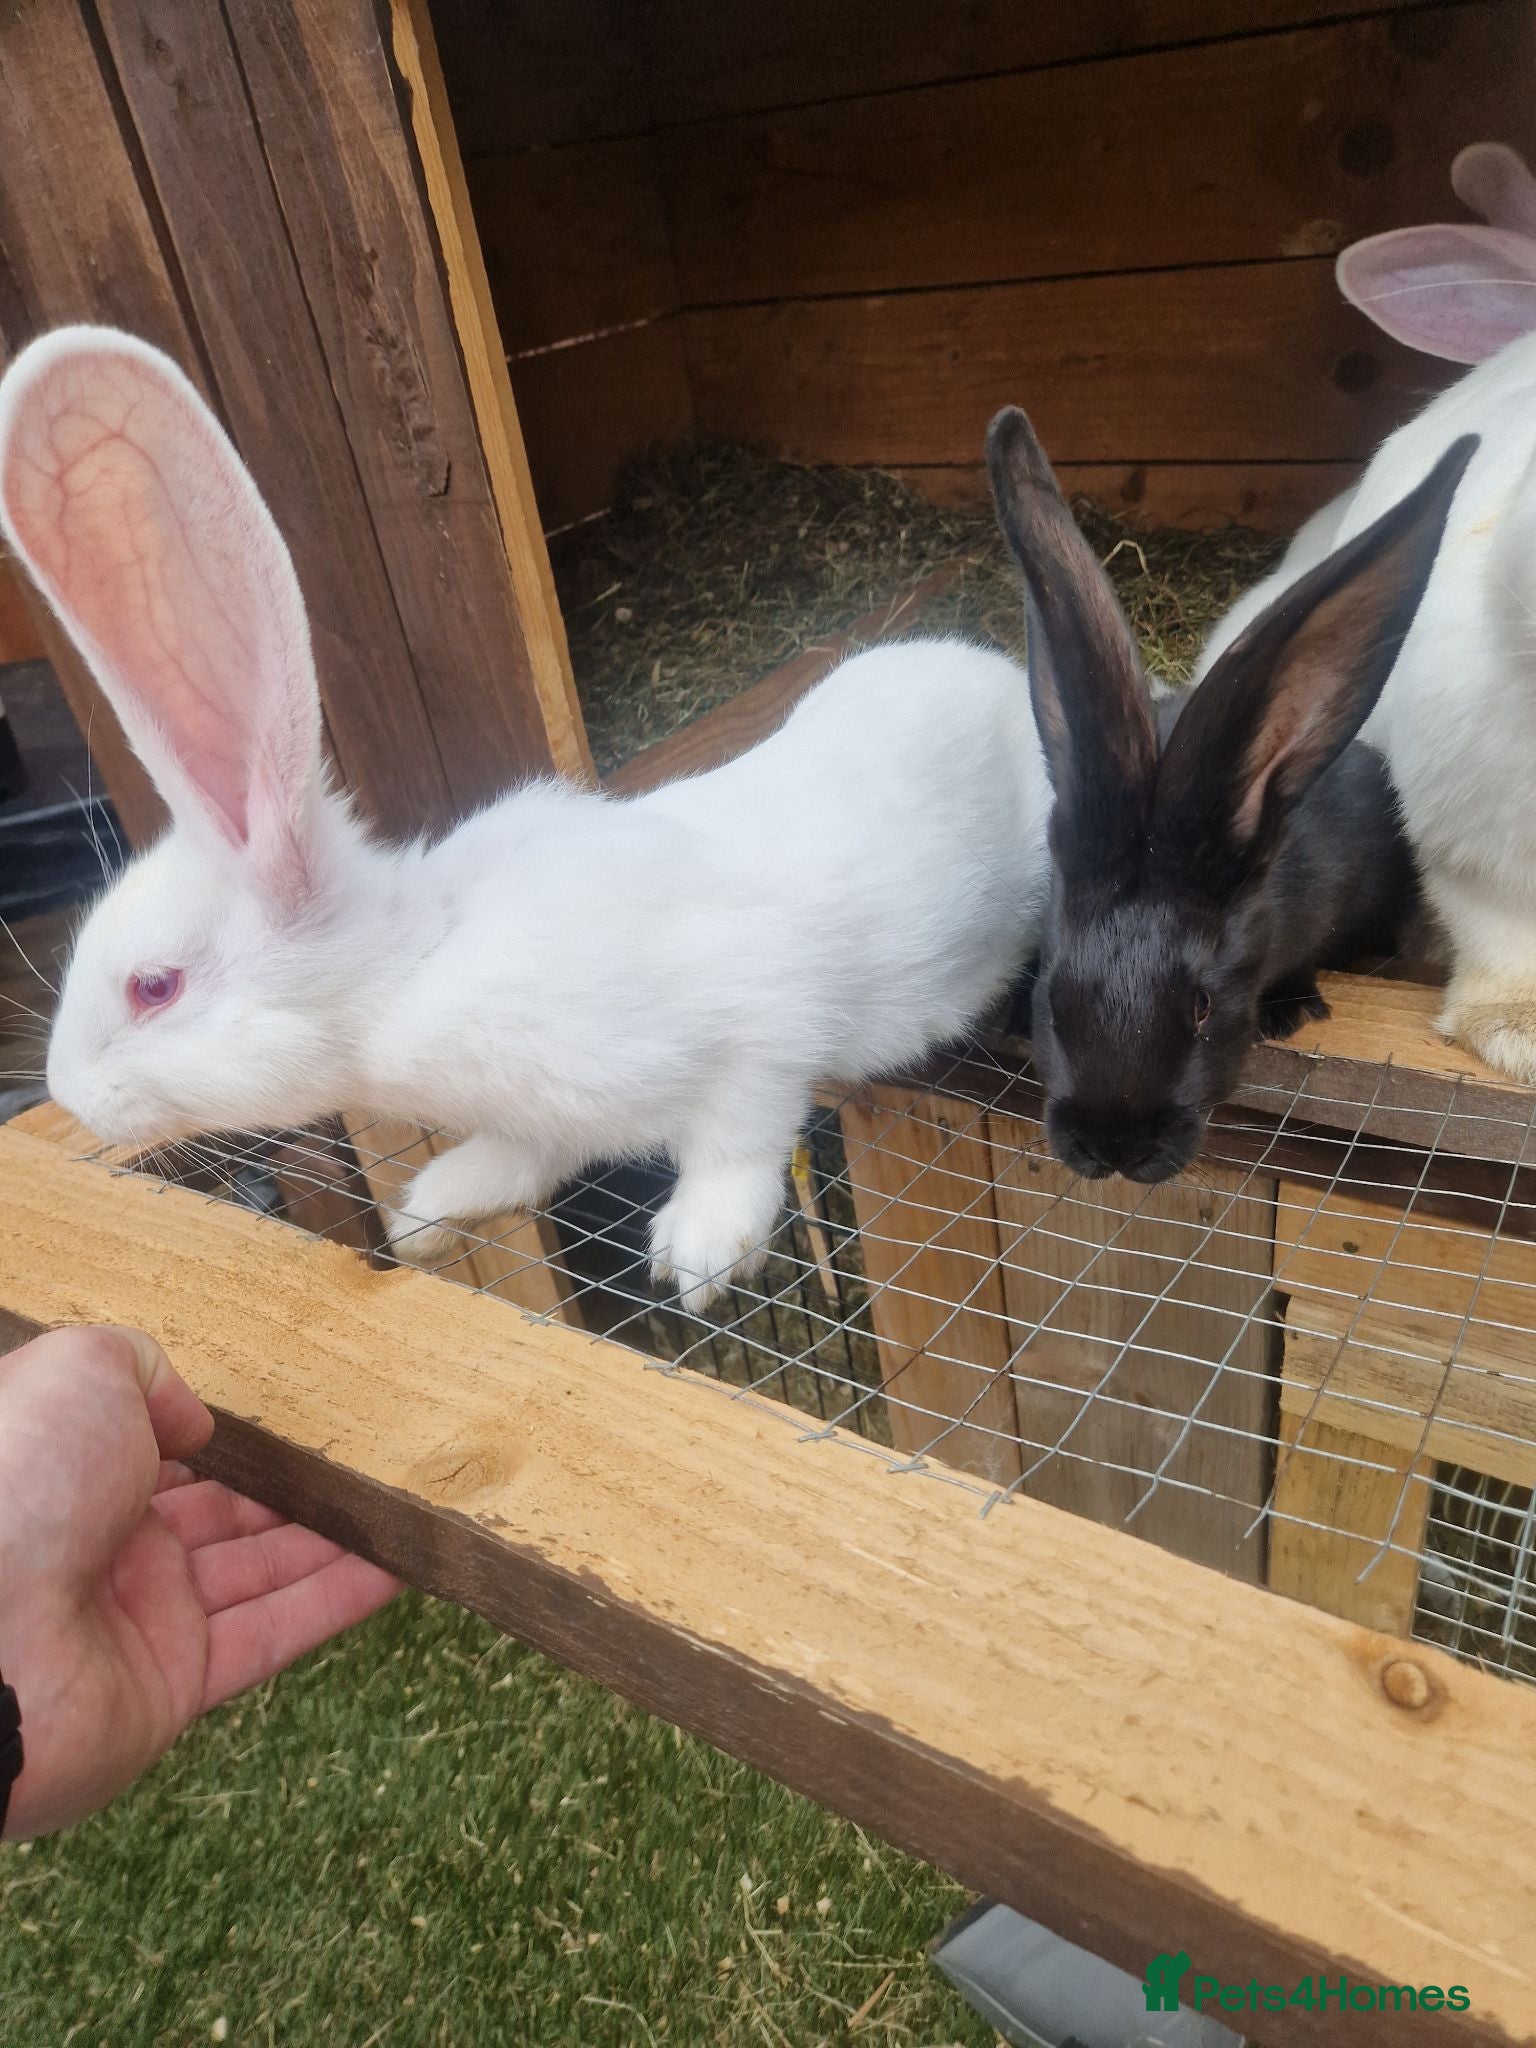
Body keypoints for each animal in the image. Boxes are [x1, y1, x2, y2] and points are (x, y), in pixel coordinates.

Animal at [0, 326, 1054, 1309]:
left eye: (154, 986)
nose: (70, 1096)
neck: (413, 968)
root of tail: (1001, 673)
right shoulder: (544, 1121)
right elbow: (518, 1161)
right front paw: (427, 1210)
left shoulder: (758, 1020)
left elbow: (743, 1124)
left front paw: (702, 1254)